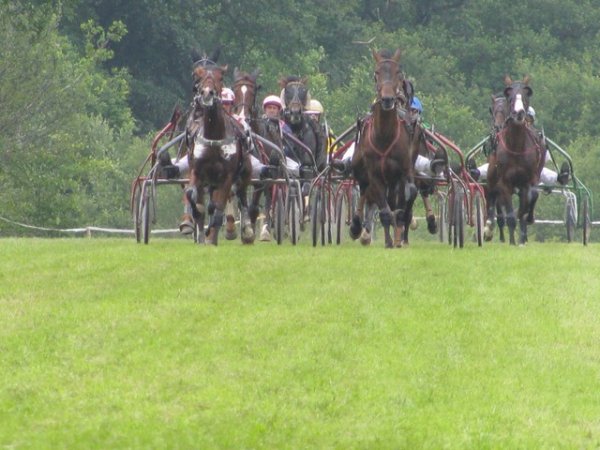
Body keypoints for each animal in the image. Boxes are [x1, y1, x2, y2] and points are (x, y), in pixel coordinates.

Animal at [186, 61, 254, 244]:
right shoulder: (197, 171)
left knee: (242, 198)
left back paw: (245, 230)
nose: (207, 94)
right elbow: (192, 196)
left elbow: (219, 208)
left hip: (244, 174)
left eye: (220, 77)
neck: (214, 135)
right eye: (199, 75)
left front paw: (212, 235)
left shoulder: (227, 176)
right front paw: (199, 224)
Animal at [346, 49, 418, 250]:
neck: (385, 137)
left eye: (398, 73)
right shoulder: (375, 174)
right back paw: (358, 228)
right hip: (362, 170)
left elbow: (405, 198)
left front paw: (399, 231)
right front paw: (387, 241)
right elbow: (383, 209)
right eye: (376, 73)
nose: (387, 99)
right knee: (365, 192)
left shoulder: (402, 172)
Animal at [482, 76, 544, 246]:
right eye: (510, 98)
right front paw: (511, 241)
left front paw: (522, 238)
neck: (516, 146)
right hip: (492, 174)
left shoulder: (528, 181)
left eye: (526, 96)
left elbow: (525, 207)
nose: (519, 113)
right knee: (491, 195)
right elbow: (509, 214)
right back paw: (489, 228)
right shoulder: (504, 182)